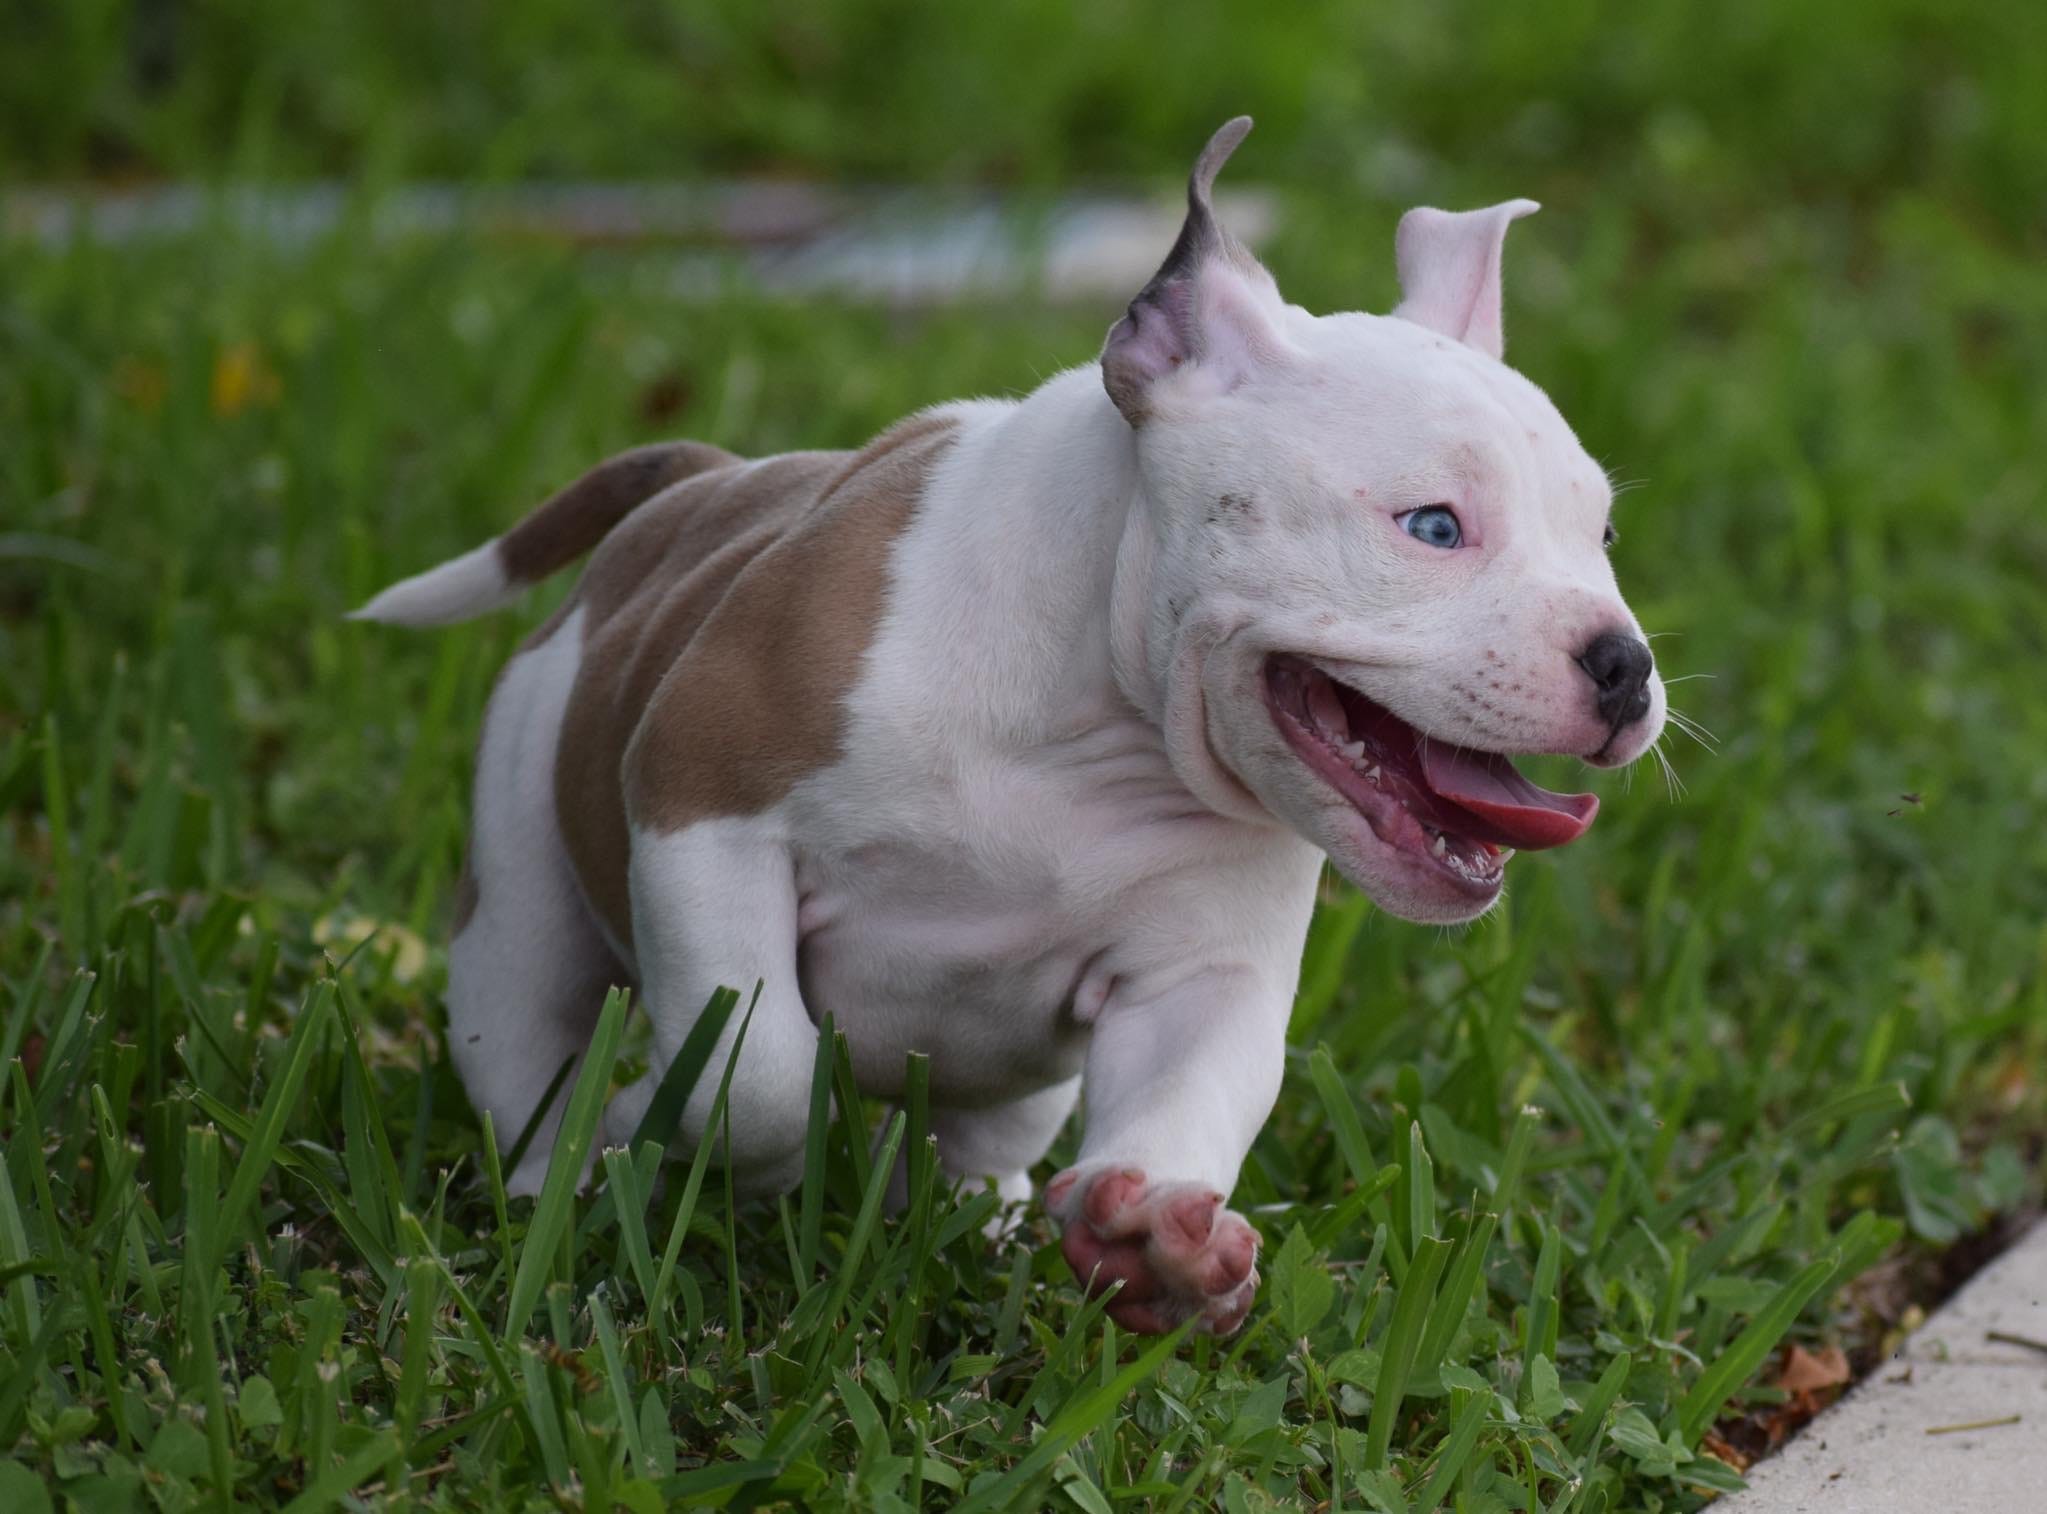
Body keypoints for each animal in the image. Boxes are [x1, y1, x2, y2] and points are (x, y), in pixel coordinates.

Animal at [352, 118, 1662, 1333]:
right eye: (1432, 526)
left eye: (1601, 536)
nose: (1625, 664)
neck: (1093, 723)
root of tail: (708, 481)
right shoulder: (703, 809)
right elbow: (760, 1068)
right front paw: (659, 1124)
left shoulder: (1201, 972)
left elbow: (1190, 1092)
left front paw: (1157, 1242)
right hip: (518, 898)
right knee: (530, 1040)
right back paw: (556, 1181)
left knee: (990, 1133)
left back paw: (979, 1222)